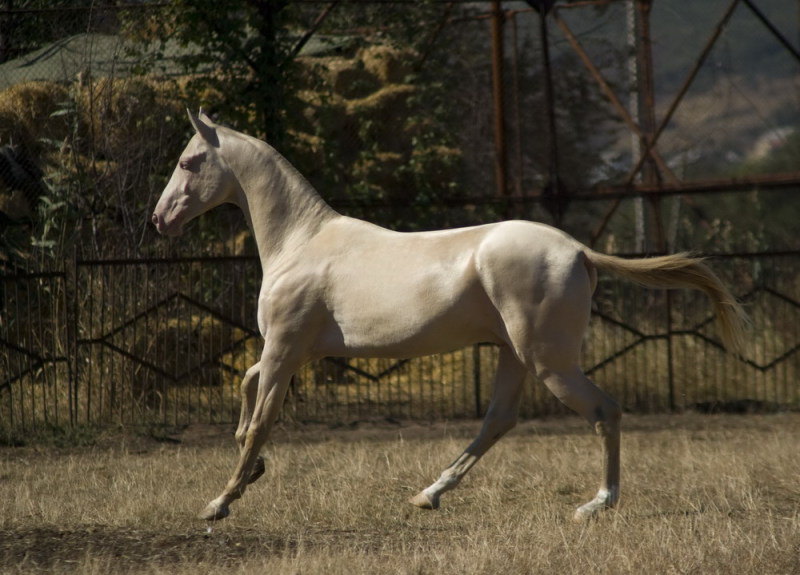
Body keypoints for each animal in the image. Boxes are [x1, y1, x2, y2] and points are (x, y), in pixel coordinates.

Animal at [153, 110, 748, 524]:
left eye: (187, 162)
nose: (160, 219)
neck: (301, 242)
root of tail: (579, 251)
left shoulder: (284, 348)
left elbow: (261, 421)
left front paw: (220, 502)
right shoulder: (289, 351)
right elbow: (247, 388)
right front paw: (248, 469)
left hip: (548, 362)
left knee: (604, 412)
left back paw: (595, 505)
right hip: (513, 356)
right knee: (498, 422)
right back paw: (428, 494)